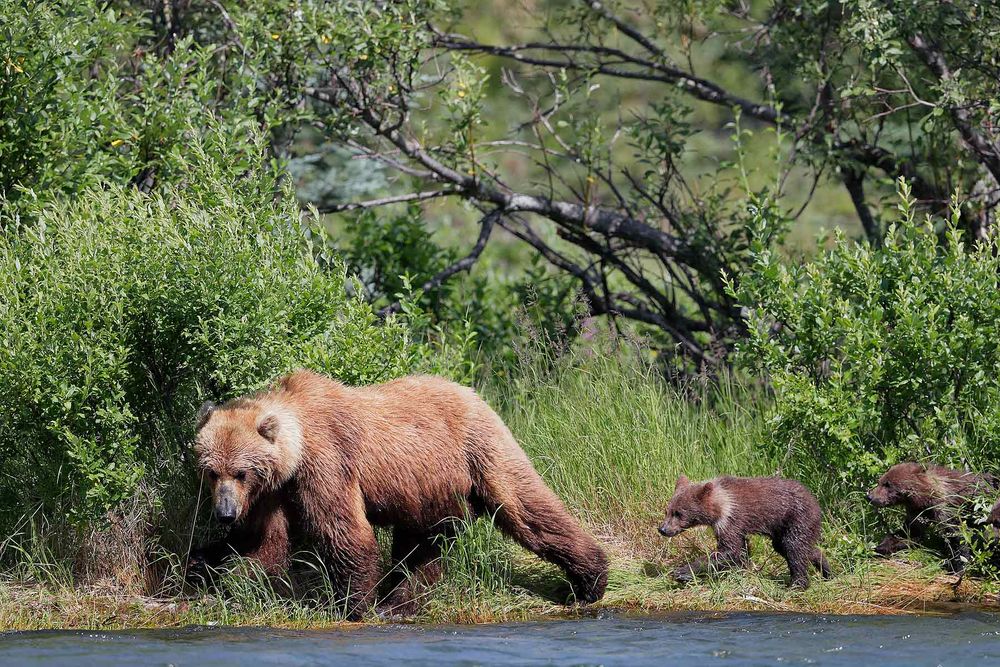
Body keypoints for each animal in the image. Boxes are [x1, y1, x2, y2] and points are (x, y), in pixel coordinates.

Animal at [190, 369, 608, 618]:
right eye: (211, 471)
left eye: (240, 471)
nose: (225, 513)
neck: (297, 445)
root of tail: (475, 393)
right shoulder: (274, 490)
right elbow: (264, 541)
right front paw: (212, 565)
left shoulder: (326, 464)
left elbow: (343, 530)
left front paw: (354, 604)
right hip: (428, 490)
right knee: (421, 546)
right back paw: (400, 601)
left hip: (478, 450)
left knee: (525, 506)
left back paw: (590, 579)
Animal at [658, 474, 830, 589]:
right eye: (668, 510)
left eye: (679, 513)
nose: (663, 529)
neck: (719, 506)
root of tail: (816, 501)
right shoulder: (729, 525)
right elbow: (739, 550)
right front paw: (740, 571)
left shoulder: (731, 519)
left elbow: (729, 550)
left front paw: (682, 572)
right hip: (782, 529)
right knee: (794, 547)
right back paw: (826, 570)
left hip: (796, 517)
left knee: (794, 548)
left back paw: (797, 584)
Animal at [867, 462, 995, 572]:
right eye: (880, 481)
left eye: (887, 484)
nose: (870, 497)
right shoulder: (917, 511)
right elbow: (910, 532)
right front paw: (879, 548)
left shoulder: (946, 509)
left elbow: (956, 536)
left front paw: (958, 567)